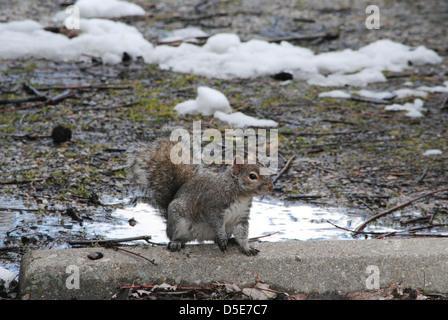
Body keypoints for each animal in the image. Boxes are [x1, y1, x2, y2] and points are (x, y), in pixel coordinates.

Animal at [126, 135, 272, 255]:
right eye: (252, 176)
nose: (271, 186)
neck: (241, 195)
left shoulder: (241, 216)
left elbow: (242, 232)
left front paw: (246, 247)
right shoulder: (212, 205)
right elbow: (216, 222)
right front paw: (222, 237)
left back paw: (230, 240)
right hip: (179, 221)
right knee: (177, 237)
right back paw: (176, 243)